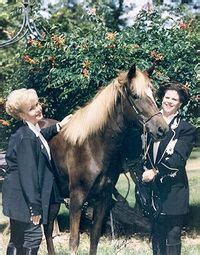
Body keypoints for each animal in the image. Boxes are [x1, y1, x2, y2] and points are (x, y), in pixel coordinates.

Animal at [42, 64, 169, 255]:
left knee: (48, 229)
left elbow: (95, 237)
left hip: (55, 200)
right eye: (135, 95)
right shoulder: (76, 199)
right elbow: (74, 241)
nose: (162, 129)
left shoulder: (103, 198)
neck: (93, 146)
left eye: (153, 94)